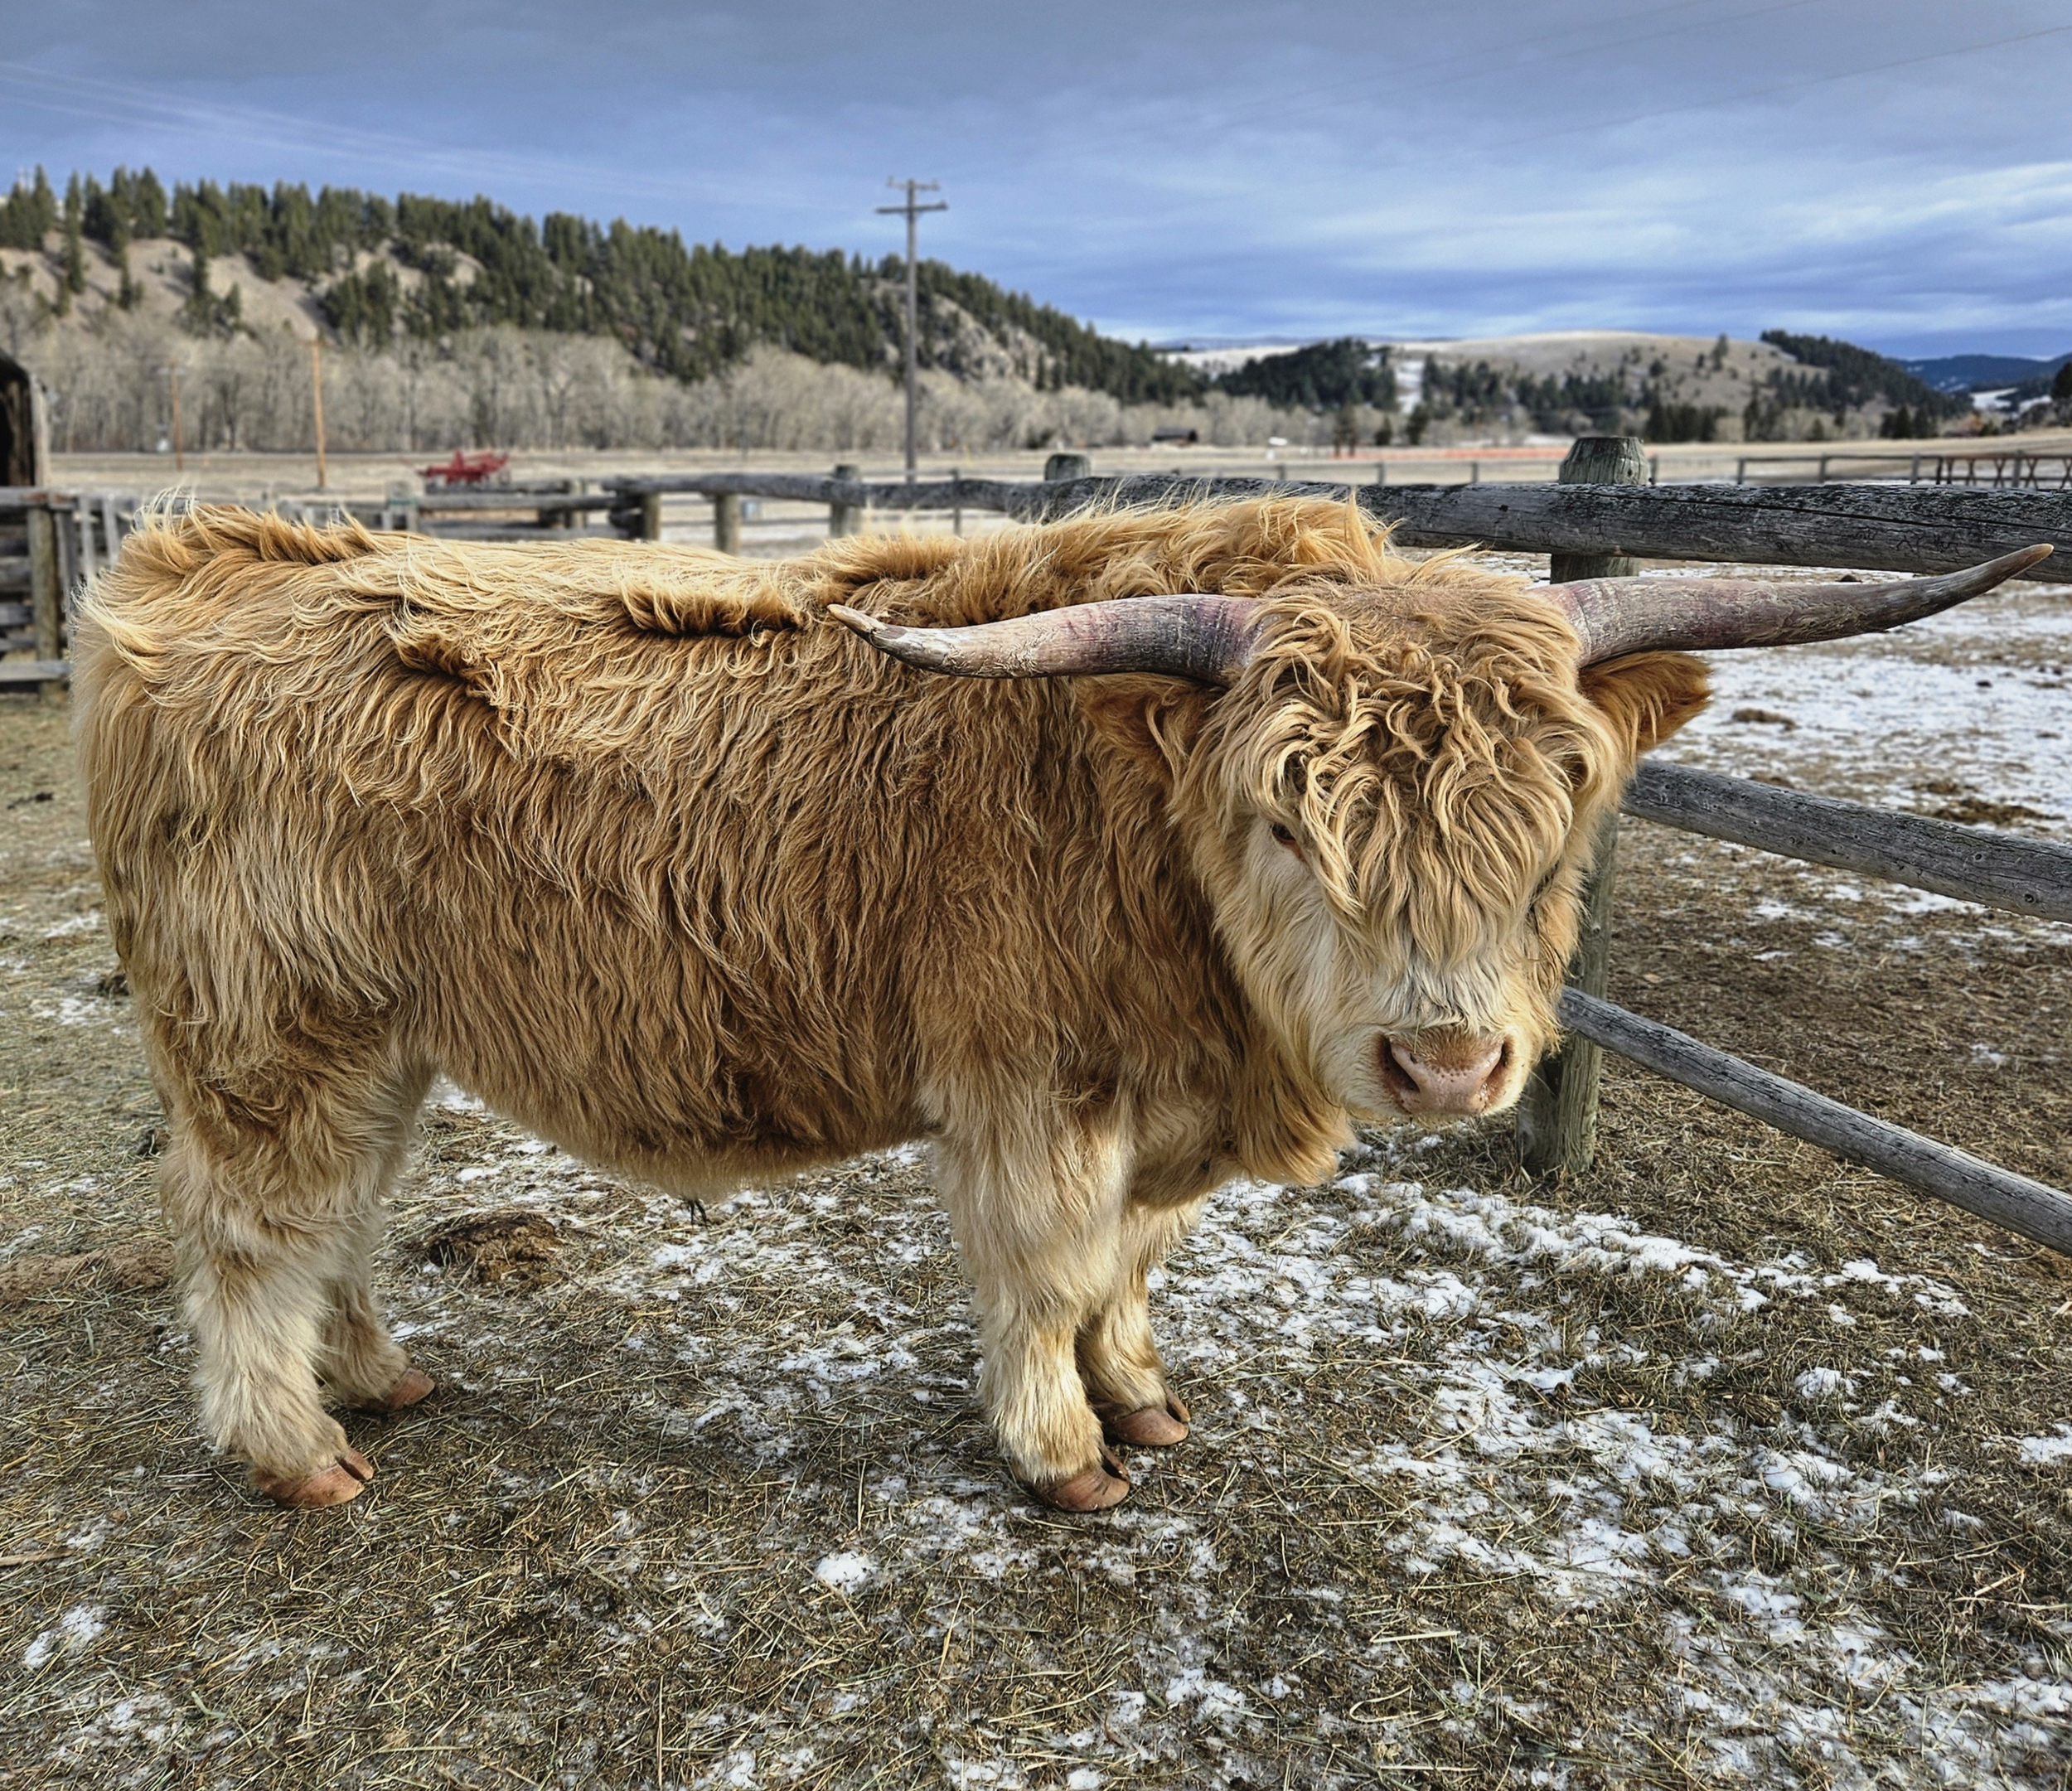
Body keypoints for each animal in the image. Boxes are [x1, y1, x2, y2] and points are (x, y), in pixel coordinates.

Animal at [73, 497, 2044, 1512]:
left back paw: (376, 1372)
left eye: (1556, 810)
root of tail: (195, 563)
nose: (1445, 1059)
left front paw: (1143, 1396)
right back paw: (298, 1451)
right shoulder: (1032, 1085)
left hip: (382, 1035)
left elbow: (1124, 1269)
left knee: (342, 1211)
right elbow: (1038, 1265)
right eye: (1287, 815)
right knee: (247, 1227)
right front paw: (1066, 1454)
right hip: (268, 1027)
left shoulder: (1156, 1109)